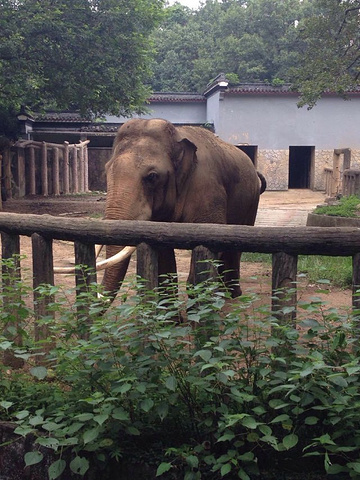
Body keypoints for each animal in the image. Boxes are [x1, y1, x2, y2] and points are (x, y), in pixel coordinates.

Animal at [100, 118, 266, 302]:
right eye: (105, 172)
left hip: (252, 202)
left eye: (152, 177)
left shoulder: (207, 188)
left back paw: (231, 295)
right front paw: (169, 310)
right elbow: (162, 251)